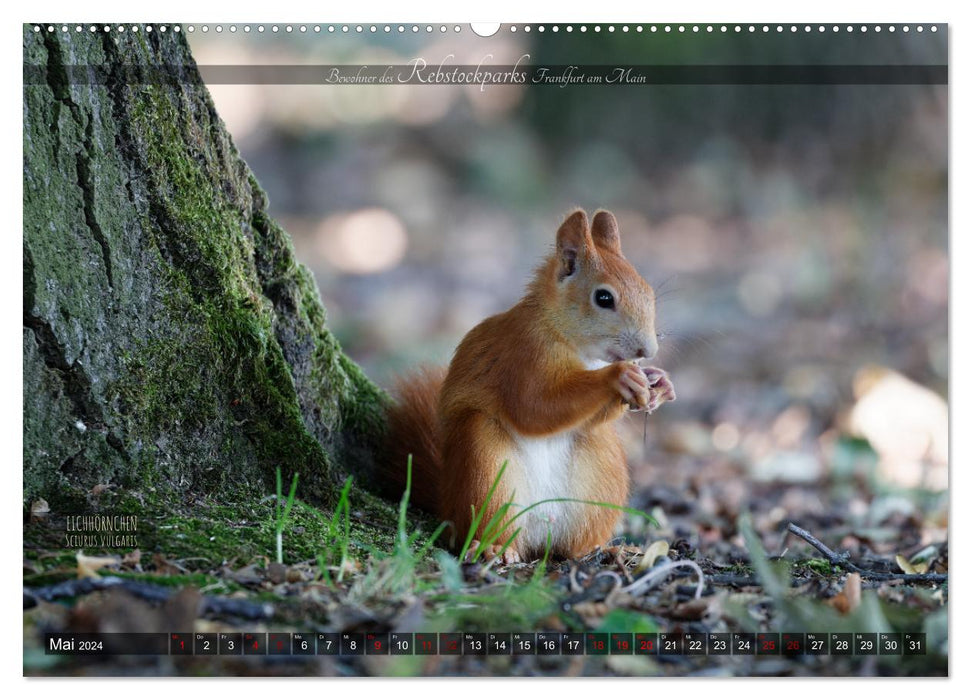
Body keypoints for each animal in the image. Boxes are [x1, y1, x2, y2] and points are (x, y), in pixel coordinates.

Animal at [384, 209, 672, 564]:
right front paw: (618, 377)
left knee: (572, 546)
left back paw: (604, 549)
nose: (649, 350)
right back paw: (492, 547)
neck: (570, 340)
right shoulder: (522, 356)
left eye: (648, 291)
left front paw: (659, 384)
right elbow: (533, 407)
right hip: (484, 464)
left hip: (602, 471)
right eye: (603, 298)